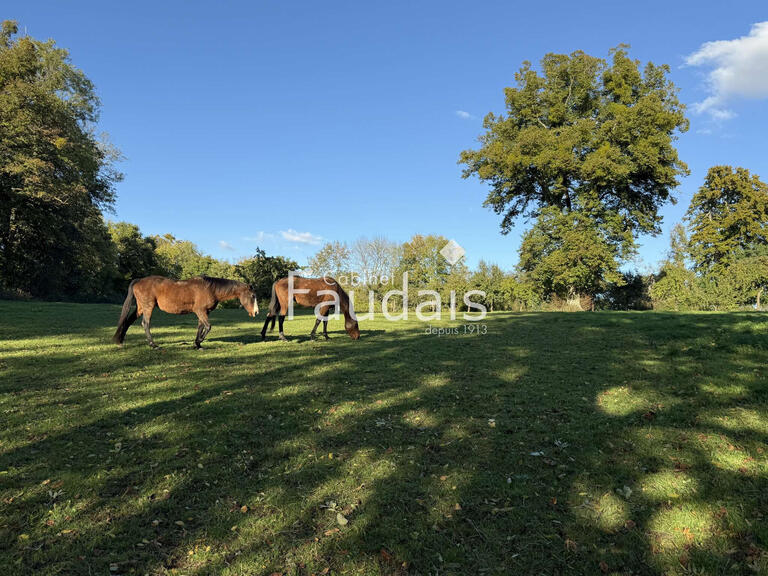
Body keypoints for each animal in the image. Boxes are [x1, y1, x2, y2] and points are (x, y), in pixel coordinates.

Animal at [112, 276, 260, 348]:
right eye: (253, 296)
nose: (257, 312)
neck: (211, 288)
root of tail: (139, 281)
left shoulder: (204, 312)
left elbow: (201, 327)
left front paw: (197, 344)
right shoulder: (200, 311)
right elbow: (208, 327)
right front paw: (197, 342)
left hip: (141, 308)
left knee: (128, 322)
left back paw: (120, 341)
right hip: (148, 307)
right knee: (145, 324)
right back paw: (153, 345)